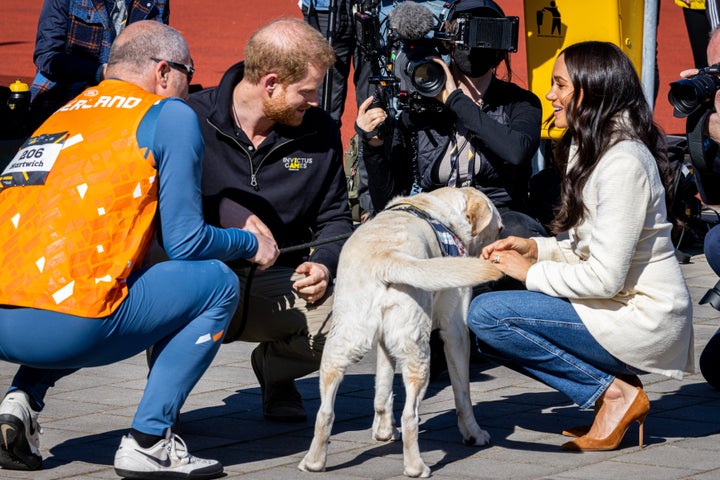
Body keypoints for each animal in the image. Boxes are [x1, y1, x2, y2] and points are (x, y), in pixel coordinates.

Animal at [300, 187, 504, 476]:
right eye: (499, 228)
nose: (499, 246)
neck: (436, 207)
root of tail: (386, 258)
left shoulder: (385, 343)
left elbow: (383, 388)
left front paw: (384, 431)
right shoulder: (456, 331)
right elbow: (463, 395)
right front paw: (473, 434)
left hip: (340, 345)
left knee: (325, 411)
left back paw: (314, 461)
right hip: (418, 352)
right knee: (411, 415)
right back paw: (416, 467)